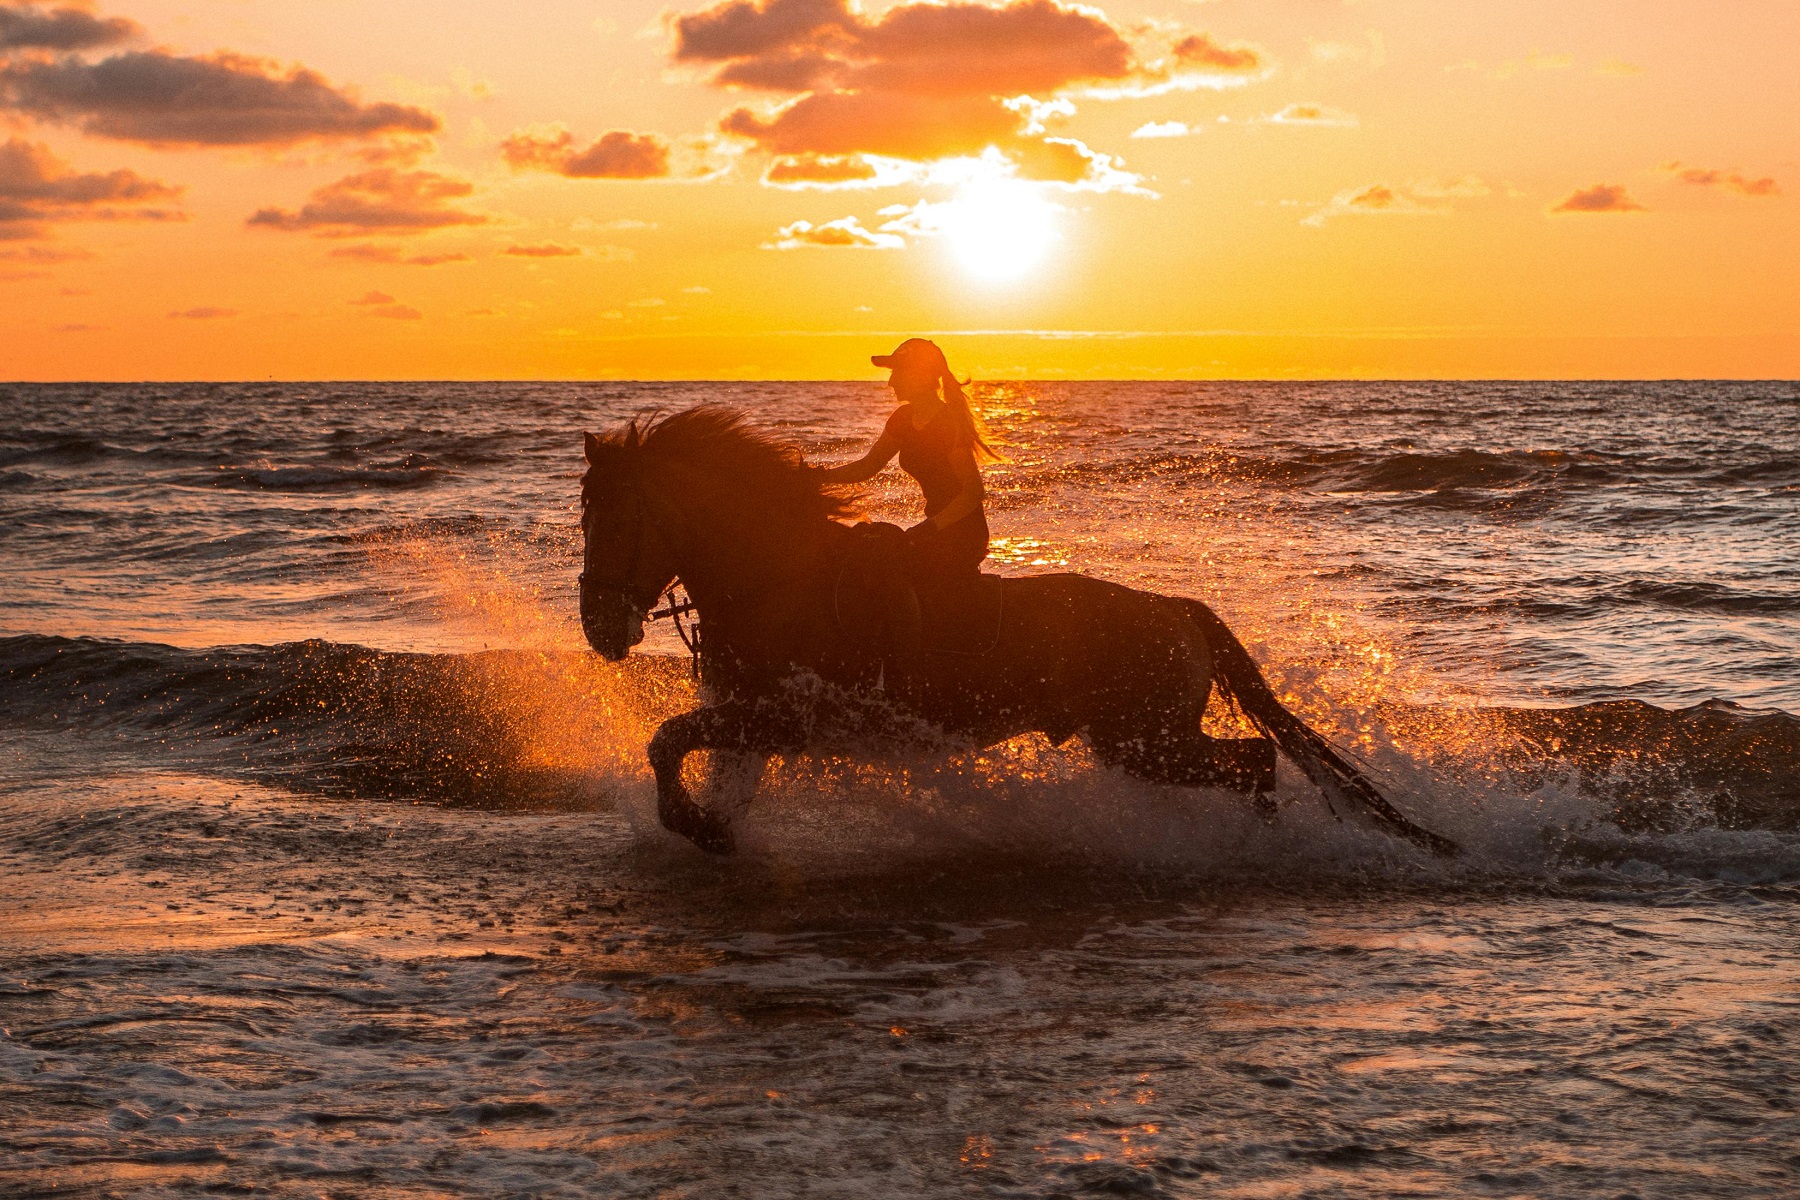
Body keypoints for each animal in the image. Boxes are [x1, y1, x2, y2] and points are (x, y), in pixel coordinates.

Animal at [583, 408, 1454, 859]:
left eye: (612, 518)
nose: (597, 627)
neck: (777, 575)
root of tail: (1178, 610)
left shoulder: (786, 719)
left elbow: (665, 741)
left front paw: (695, 827)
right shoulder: (750, 720)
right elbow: (698, 762)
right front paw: (713, 829)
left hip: (1144, 741)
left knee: (1255, 760)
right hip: (1143, 740)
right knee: (1254, 761)